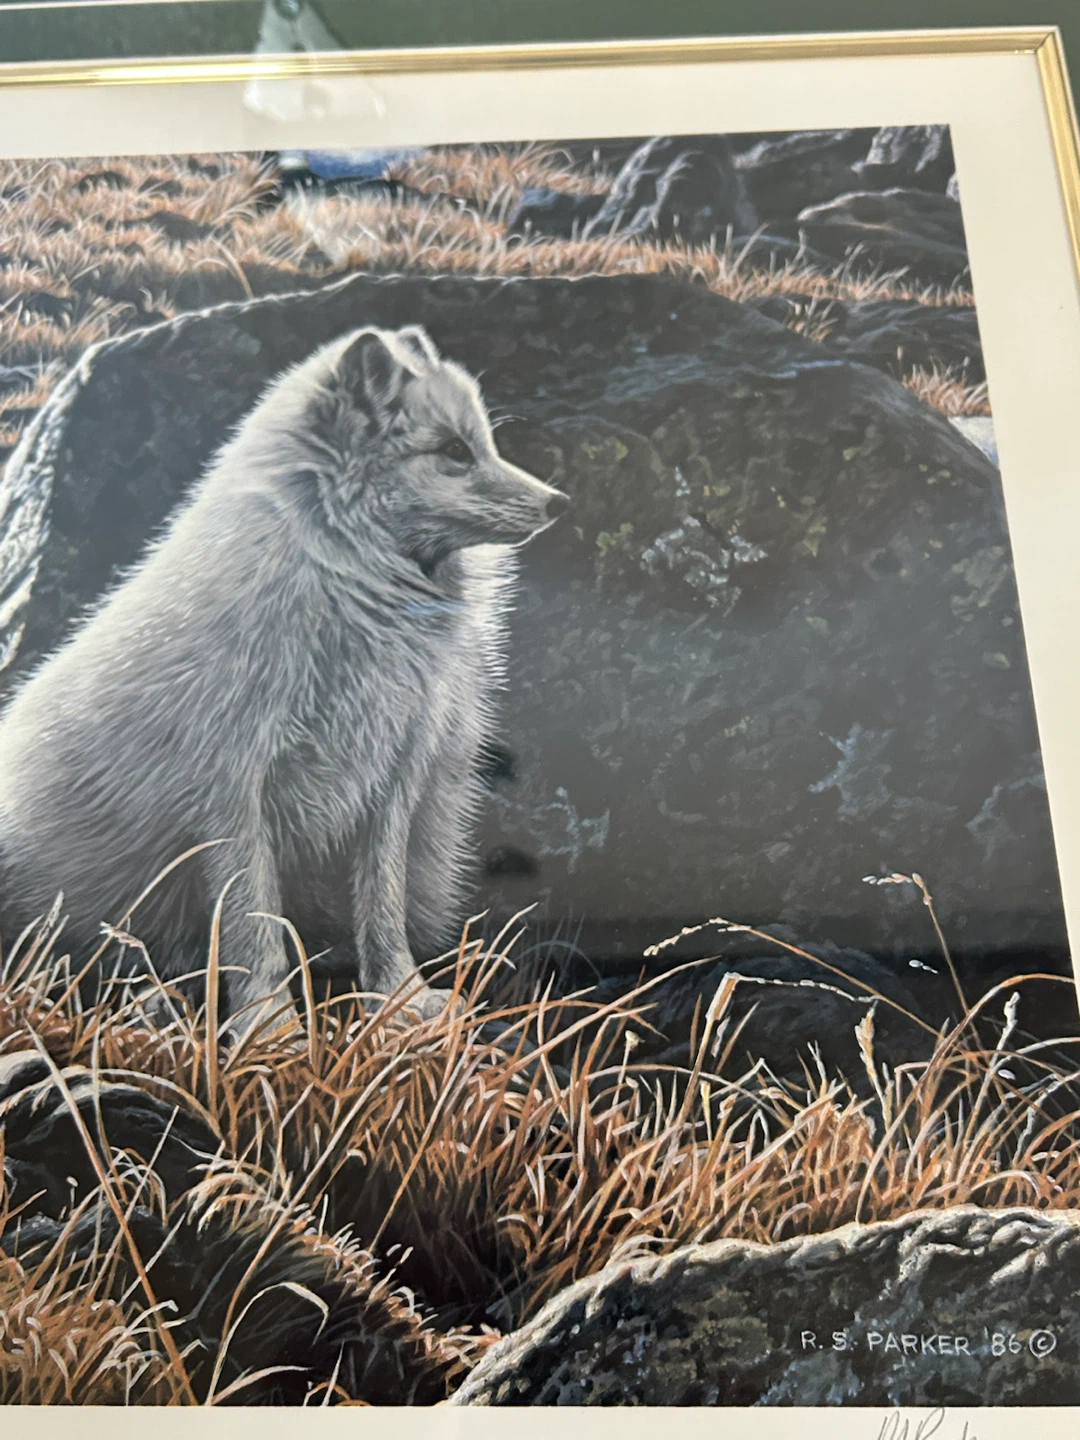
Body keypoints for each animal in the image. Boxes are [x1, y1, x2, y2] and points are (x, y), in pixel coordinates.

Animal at [0, 324, 568, 1024]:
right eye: (454, 451)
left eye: (483, 442)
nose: (558, 503)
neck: (354, 601)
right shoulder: (232, 794)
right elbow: (255, 923)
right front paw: (272, 1027)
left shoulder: (389, 784)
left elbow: (380, 906)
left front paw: (400, 999)